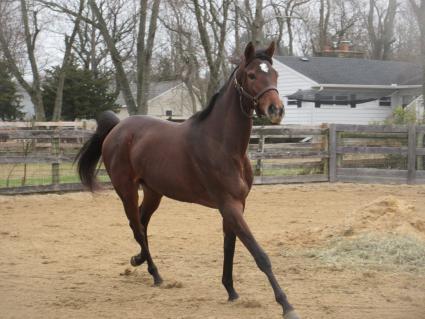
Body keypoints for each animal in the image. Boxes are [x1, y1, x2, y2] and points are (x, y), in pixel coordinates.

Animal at [77, 41, 302, 318]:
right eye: (251, 75)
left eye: (275, 74)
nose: (276, 110)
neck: (223, 145)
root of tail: (118, 128)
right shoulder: (229, 205)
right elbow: (259, 254)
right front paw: (286, 304)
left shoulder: (236, 206)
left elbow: (229, 246)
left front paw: (231, 291)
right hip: (126, 189)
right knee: (136, 226)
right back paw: (156, 274)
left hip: (154, 192)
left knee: (142, 222)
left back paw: (138, 260)